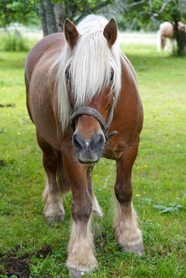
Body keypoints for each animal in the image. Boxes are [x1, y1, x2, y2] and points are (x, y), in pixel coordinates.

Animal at [24, 15, 144, 278]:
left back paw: (96, 210)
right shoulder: (72, 153)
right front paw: (81, 258)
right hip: (44, 138)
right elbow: (80, 206)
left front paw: (130, 238)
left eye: (111, 75)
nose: (88, 141)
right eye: (68, 75)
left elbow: (124, 191)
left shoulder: (130, 149)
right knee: (50, 168)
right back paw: (53, 209)